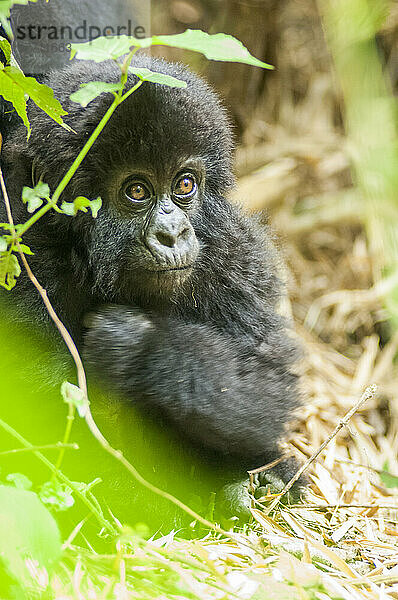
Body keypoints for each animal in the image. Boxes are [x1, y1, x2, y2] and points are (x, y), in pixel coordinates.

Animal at [0, 55, 304, 516]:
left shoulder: (235, 256)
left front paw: (139, 346)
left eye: (184, 184)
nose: (173, 234)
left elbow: (267, 385)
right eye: (137, 191)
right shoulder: (23, 257)